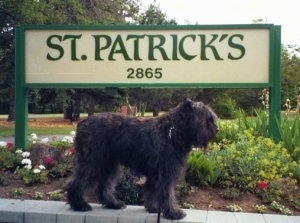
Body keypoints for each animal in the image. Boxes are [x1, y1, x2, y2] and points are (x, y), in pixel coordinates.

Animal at [67, 99, 218, 220]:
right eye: (206, 119)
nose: (216, 129)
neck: (173, 131)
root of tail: (81, 123)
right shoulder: (166, 173)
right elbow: (167, 194)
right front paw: (173, 213)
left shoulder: (156, 174)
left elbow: (152, 191)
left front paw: (152, 208)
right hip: (92, 163)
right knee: (76, 183)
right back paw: (80, 205)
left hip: (109, 164)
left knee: (104, 185)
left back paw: (113, 203)